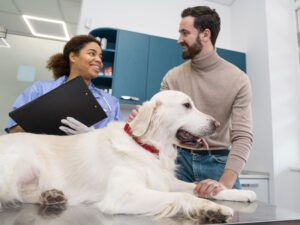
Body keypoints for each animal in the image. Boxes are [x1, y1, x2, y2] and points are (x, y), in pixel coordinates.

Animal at [0, 90, 255, 221]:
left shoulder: (165, 182)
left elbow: (195, 187)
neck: (147, 147)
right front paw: (211, 209)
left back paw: (51, 196)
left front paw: (238, 194)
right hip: (21, 161)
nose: (217, 124)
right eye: (186, 105)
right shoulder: (123, 195)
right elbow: (183, 196)